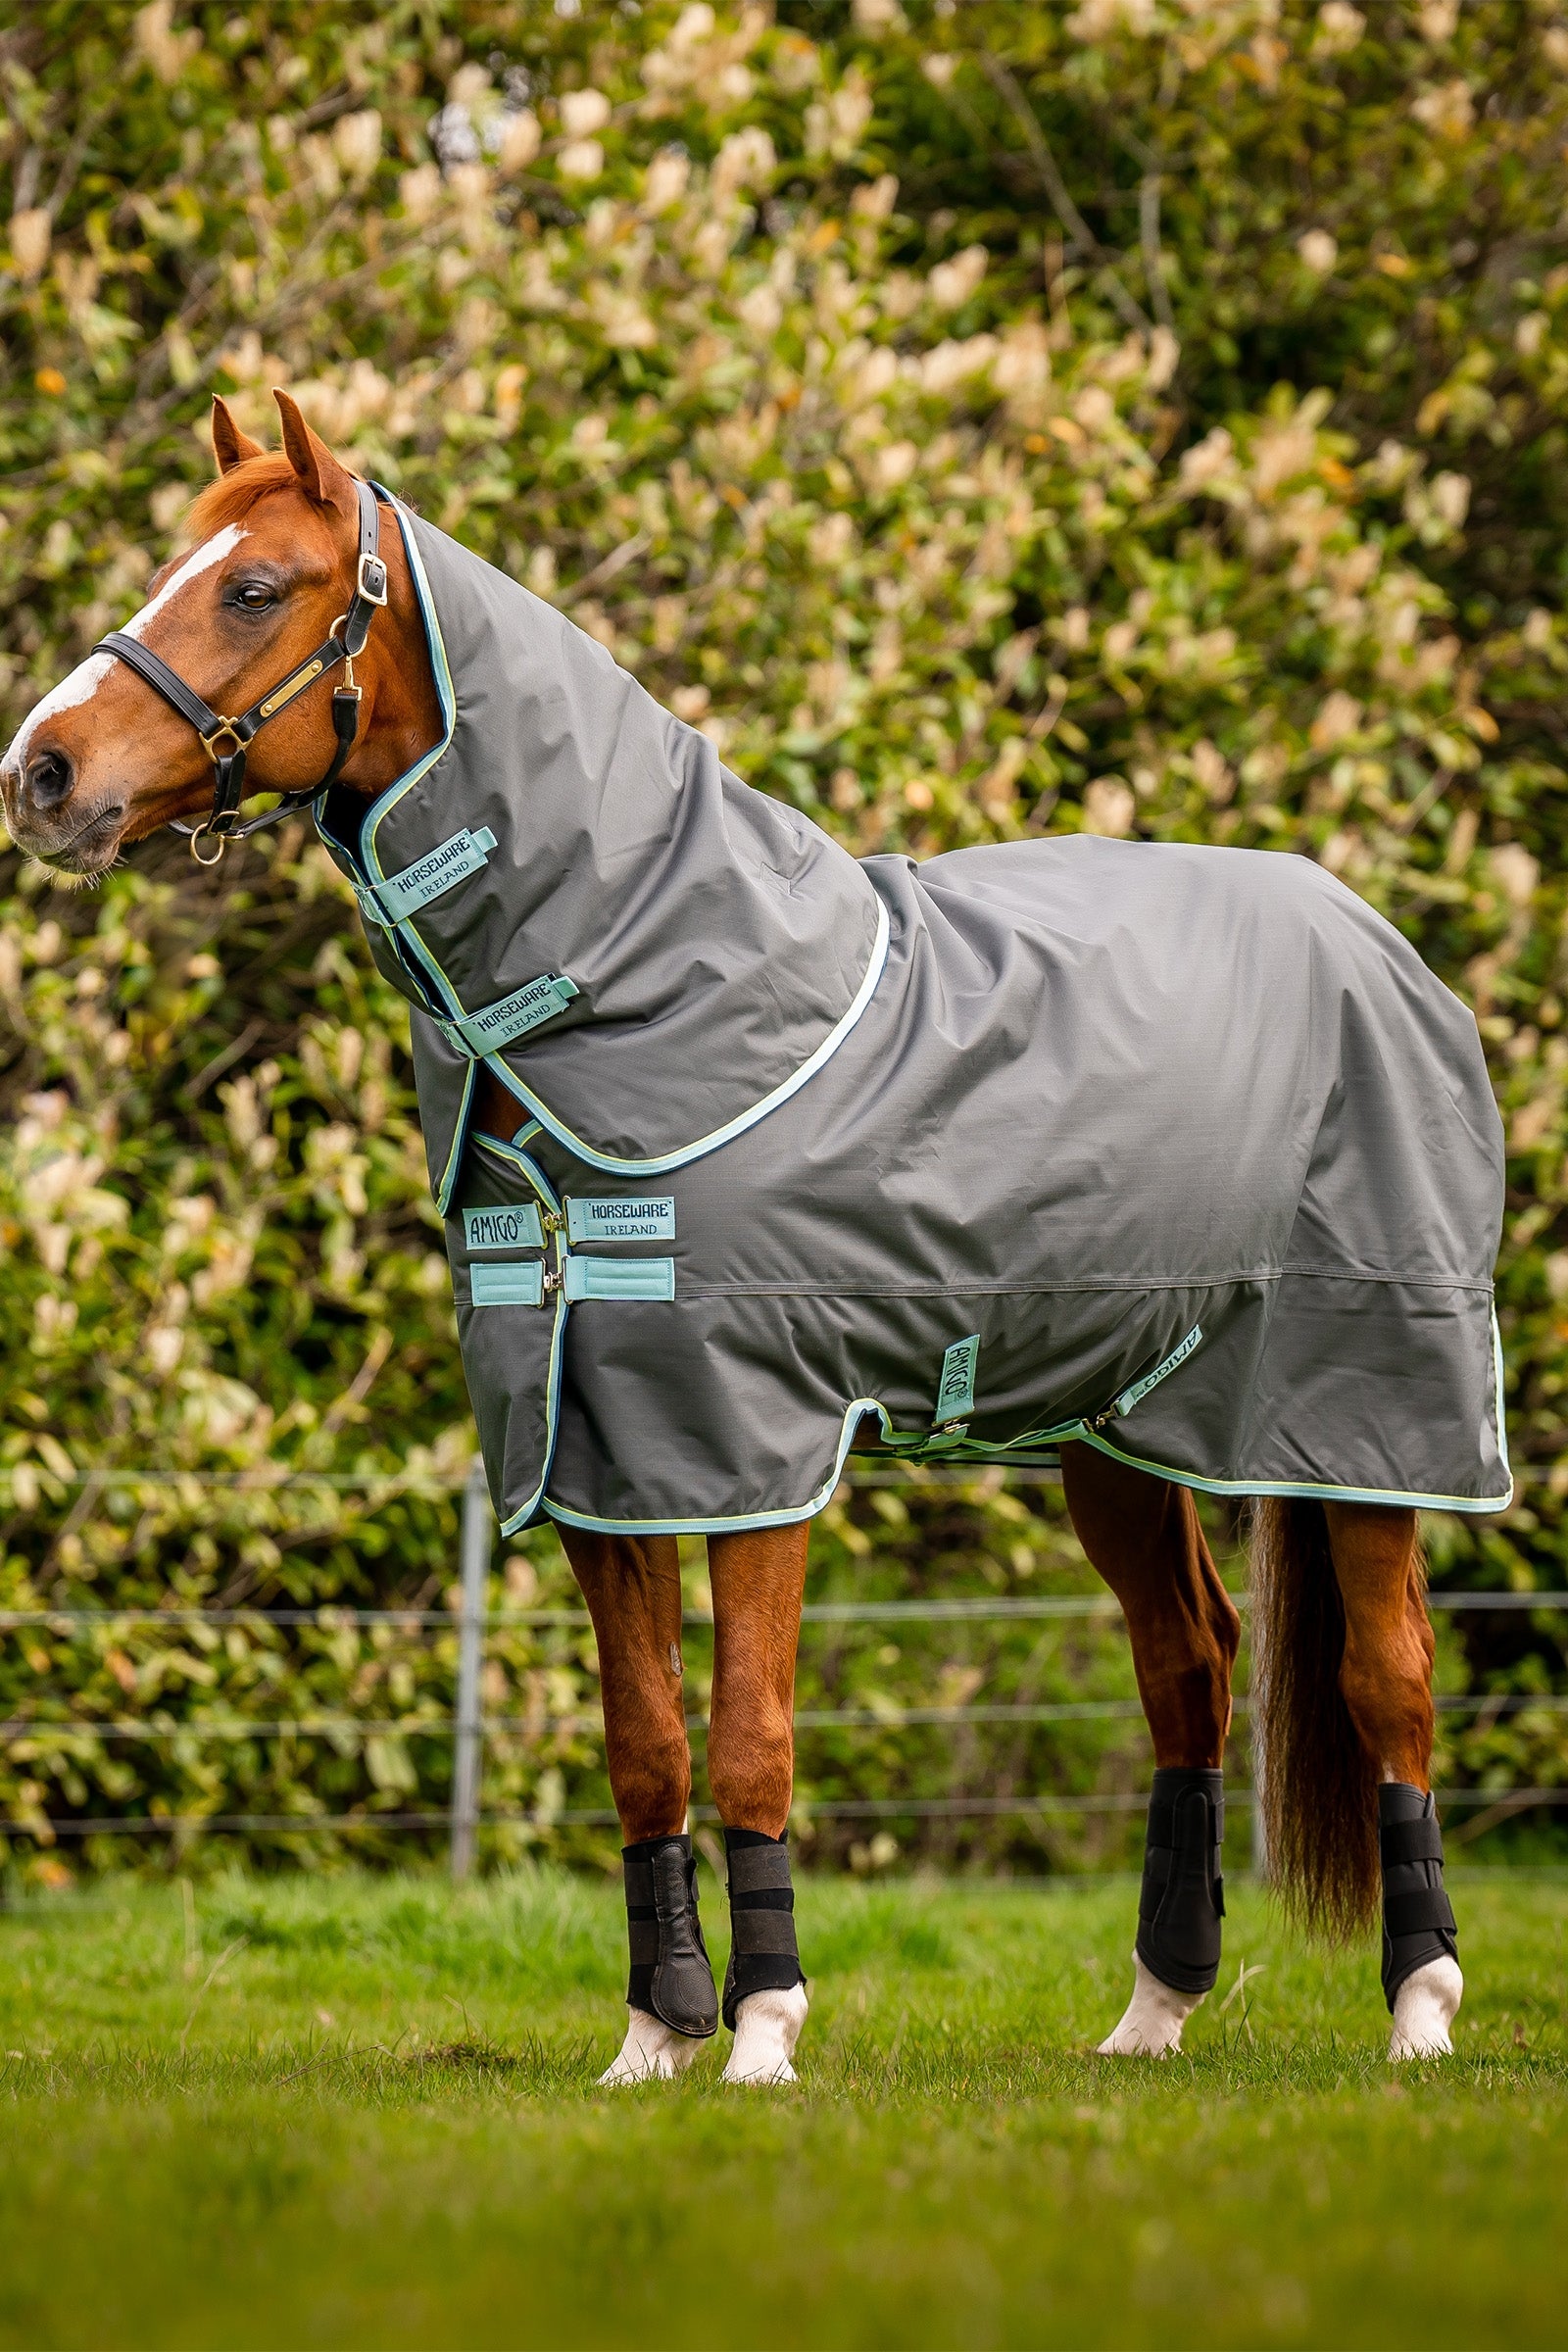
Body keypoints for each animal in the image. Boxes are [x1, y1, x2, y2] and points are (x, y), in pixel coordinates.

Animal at [1, 390, 1499, 2083]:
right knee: (1188, 1669)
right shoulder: (599, 1454)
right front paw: (652, 2041)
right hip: (1123, 1431)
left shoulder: (754, 1443)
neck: (661, 990)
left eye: (254, 588)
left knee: (1389, 1683)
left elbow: (749, 1739)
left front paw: (765, 2034)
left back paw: (1421, 2015)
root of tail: (1377, 942)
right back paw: (1151, 2016)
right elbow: (646, 1748)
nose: (40, 771)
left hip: (1371, 1410)